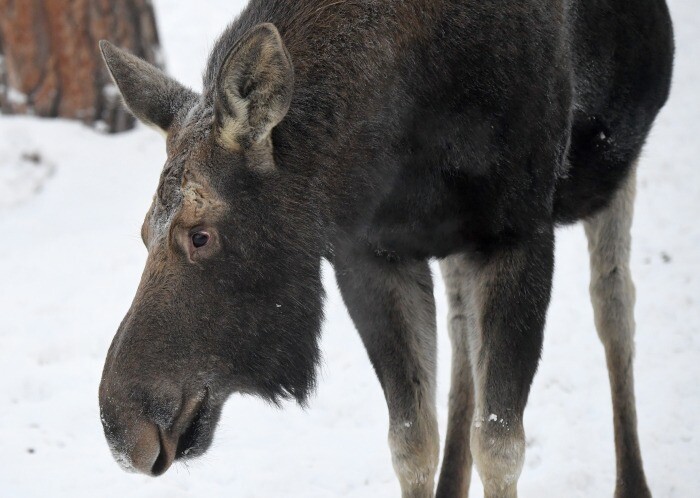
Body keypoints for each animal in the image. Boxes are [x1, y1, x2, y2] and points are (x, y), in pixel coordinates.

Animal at [97, 1, 672, 496]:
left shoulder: (519, 234)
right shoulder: (372, 253)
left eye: (200, 234)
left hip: (614, 166)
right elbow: (412, 442)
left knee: (614, 306)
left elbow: (501, 444)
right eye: (144, 231)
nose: (123, 428)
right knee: (463, 332)